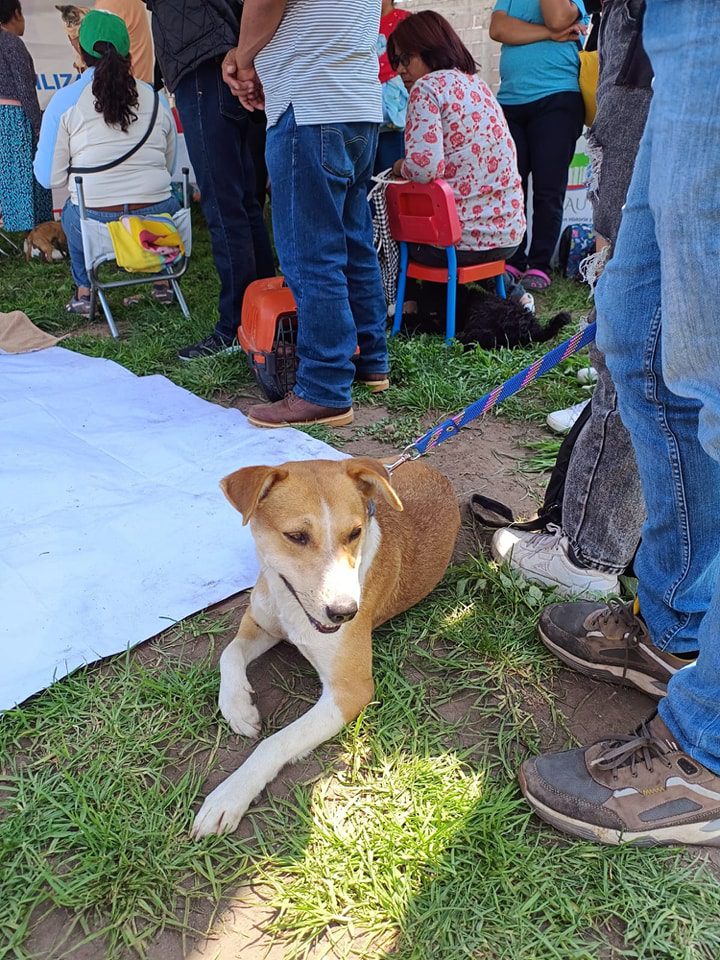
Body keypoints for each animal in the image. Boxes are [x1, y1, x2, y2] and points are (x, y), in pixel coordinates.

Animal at [191, 454, 462, 836]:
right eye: (296, 536)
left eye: (355, 533)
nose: (346, 612)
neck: (291, 604)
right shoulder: (260, 623)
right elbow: (228, 654)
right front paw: (238, 707)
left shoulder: (350, 692)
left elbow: (276, 742)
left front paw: (230, 795)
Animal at [402, 284, 572, 352]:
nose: (427, 310)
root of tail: (531, 329)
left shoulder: (445, 322)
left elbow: (425, 324)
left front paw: (407, 327)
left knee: (485, 339)